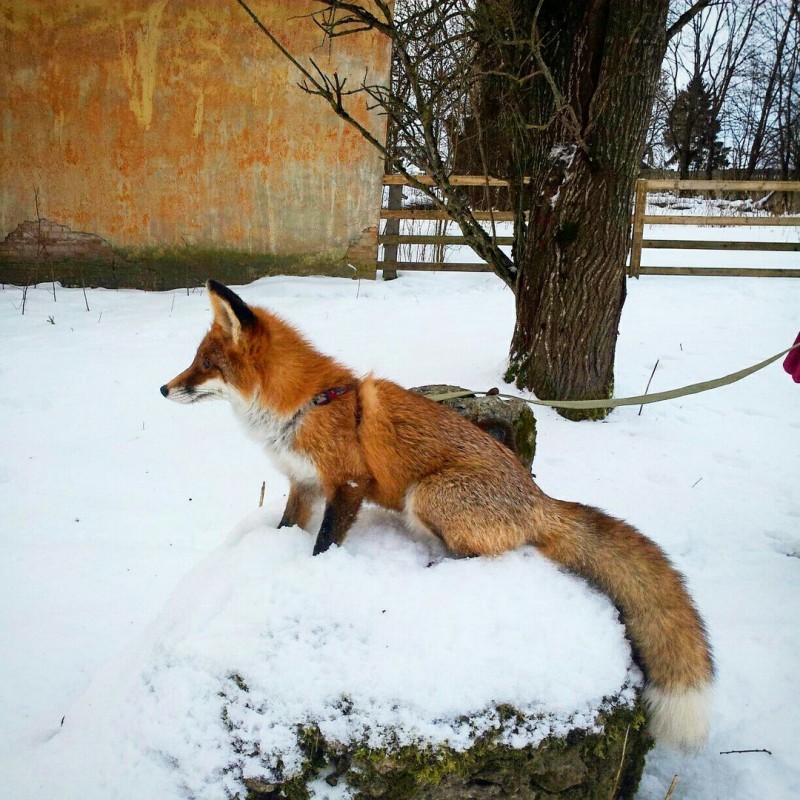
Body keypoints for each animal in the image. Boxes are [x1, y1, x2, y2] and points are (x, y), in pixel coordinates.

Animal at [161, 280, 712, 752]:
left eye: (205, 364)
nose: (164, 390)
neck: (303, 407)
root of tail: (540, 498)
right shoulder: (303, 485)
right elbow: (288, 528)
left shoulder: (348, 485)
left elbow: (323, 546)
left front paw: (314, 576)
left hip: (425, 496)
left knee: (488, 556)